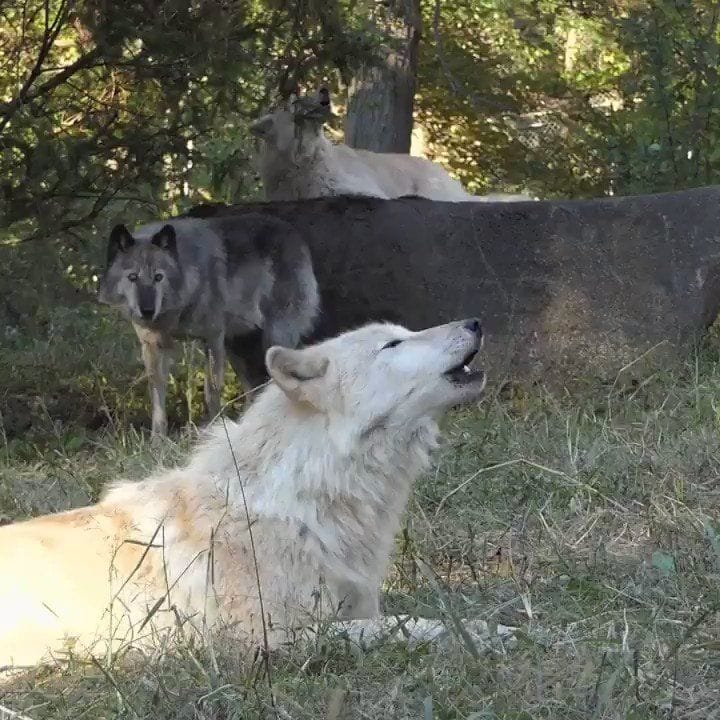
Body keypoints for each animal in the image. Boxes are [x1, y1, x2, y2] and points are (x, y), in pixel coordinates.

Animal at [0, 318, 485, 669]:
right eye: (393, 345)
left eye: (405, 333)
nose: (476, 321)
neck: (304, 497)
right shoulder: (274, 635)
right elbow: (407, 626)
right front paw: (483, 633)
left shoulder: (350, 606)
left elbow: (400, 622)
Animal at [97, 214, 319, 437]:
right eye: (133, 277)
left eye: (158, 277)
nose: (148, 311)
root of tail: (293, 233)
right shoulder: (154, 346)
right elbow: (157, 400)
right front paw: (157, 440)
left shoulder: (213, 338)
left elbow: (211, 392)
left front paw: (213, 429)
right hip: (237, 351)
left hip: (271, 341)